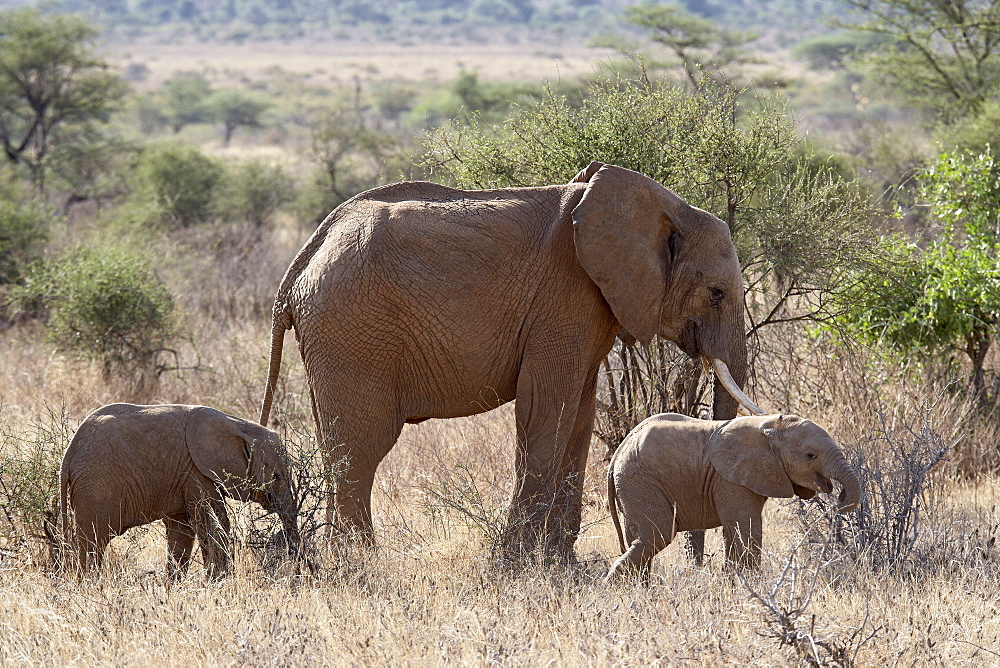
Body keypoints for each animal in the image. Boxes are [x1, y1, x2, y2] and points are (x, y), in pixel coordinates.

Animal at [59, 402, 298, 580]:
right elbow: (213, 523)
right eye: (277, 476)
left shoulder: (184, 475)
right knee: (93, 543)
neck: (239, 425)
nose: (296, 567)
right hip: (95, 485)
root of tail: (67, 456)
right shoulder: (196, 472)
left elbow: (182, 531)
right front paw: (220, 582)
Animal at [258, 160, 756, 552]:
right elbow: (547, 408)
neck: (663, 206)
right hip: (352, 329)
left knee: (338, 445)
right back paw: (359, 565)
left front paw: (558, 562)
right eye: (716, 294)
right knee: (360, 449)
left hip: (333, 334)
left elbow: (579, 414)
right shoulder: (566, 297)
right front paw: (517, 562)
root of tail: (305, 260)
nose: (699, 557)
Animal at [600, 412, 860, 580]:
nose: (839, 498)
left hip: (632, 484)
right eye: (810, 455)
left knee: (640, 538)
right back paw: (615, 588)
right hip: (641, 480)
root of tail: (617, 454)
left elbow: (735, 530)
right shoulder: (729, 479)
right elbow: (747, 529)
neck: (768, 424)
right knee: (657, 535)